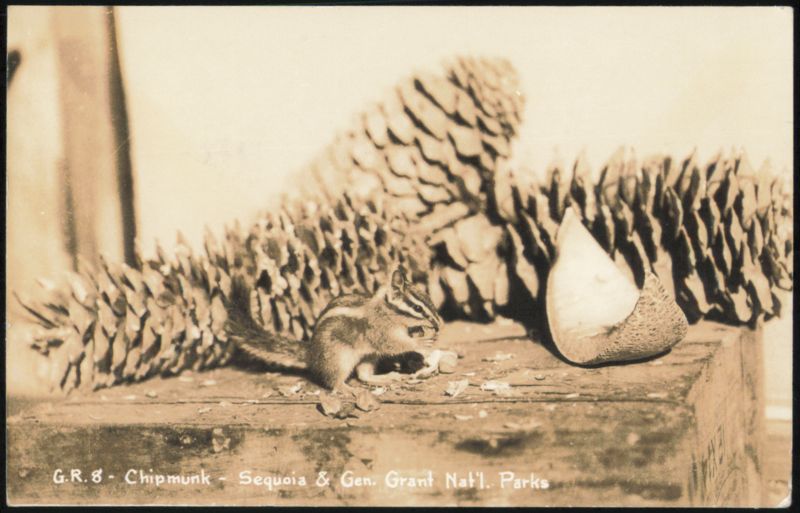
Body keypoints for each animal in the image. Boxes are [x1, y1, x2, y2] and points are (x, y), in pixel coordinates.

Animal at [226, 266, 442, 395]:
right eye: (417, 308)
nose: (439, 325)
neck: (386, 311)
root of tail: (311, 354)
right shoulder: (380, 331)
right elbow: (395, 344)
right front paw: (420, 343)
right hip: (339, 359)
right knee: (334, 382)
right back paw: (348, 389)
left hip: (368, 357)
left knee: (364, 375)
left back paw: (386, 377)